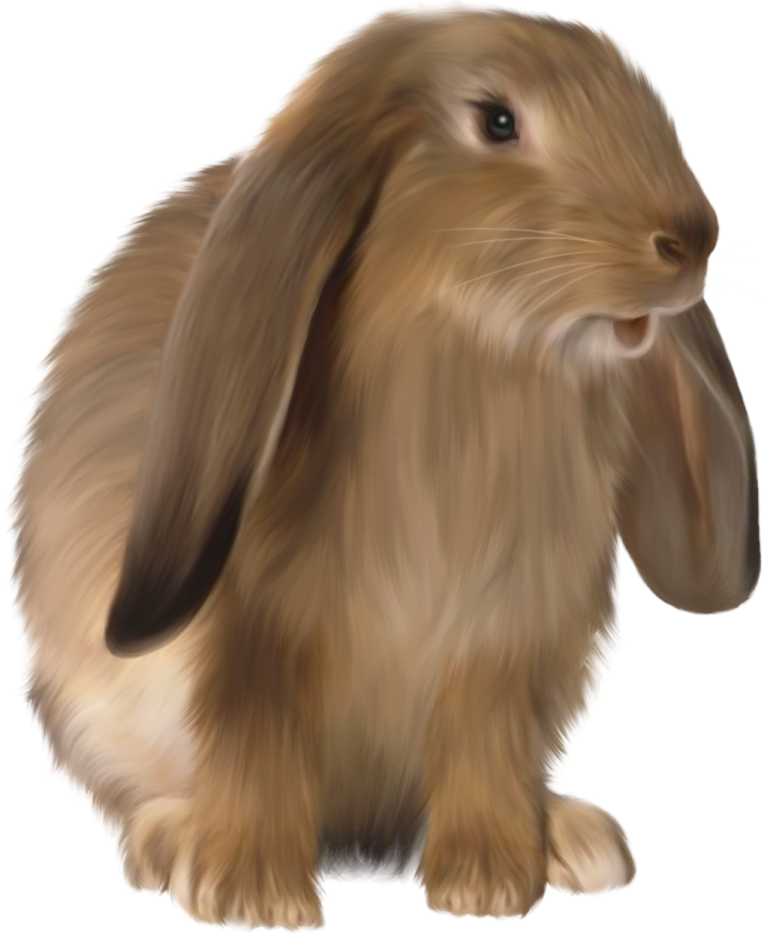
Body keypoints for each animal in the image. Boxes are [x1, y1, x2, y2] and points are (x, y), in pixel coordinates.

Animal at [8, 1, 761, 931]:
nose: (688, 240)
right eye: (496, 121)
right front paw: (250, 894)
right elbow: (256, 741)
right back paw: (167, 841)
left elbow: (482, 746)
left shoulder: (505, 644)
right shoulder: (251, 643)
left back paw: (575, 837)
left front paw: (487, 882)